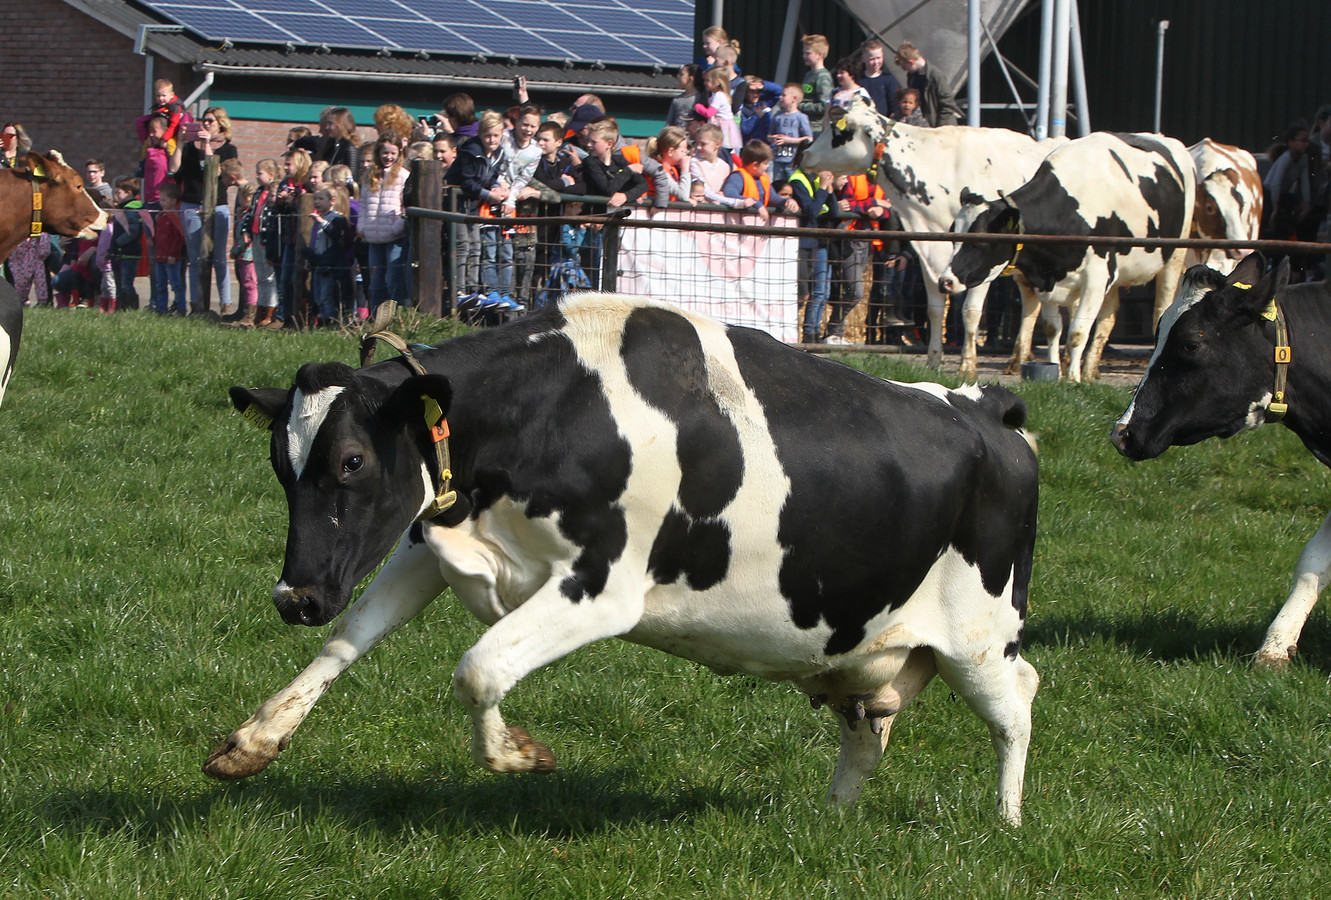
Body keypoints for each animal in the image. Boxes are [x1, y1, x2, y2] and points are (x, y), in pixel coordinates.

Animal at [205, 294, 1042, 825]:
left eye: (350, 461)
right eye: (280, 465)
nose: (294, 597)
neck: (553, 408)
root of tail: (985, 408)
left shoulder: (602, 588)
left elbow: (479, 668)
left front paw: (518, 754)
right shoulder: (429, 544)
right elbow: (347, 640)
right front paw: (253, 742)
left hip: (978, 634)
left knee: (1017, 701)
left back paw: (1004, 822)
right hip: (858, 646)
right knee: (868, 727)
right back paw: (832, 819)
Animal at [800, 98, 1061, 381]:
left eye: (839, 132)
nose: (805, 154)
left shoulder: (982, 262)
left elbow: (970, 311)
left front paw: (967, 366)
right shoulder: (929, 253)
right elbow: (935, 310)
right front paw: (933, 361)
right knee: (1030, 302)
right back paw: (1018, 359)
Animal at [939, 132, 1196, 382]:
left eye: (980, 241)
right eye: (953, 235)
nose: (945, 281)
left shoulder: (1096, 277)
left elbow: (1077, 332)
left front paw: (1072, 379)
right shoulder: (1046, 278)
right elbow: (1053, 328)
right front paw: (1056, 370)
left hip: (1174, 256)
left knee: (1161, 307)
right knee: (1107, 318)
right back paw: (1090, 371)